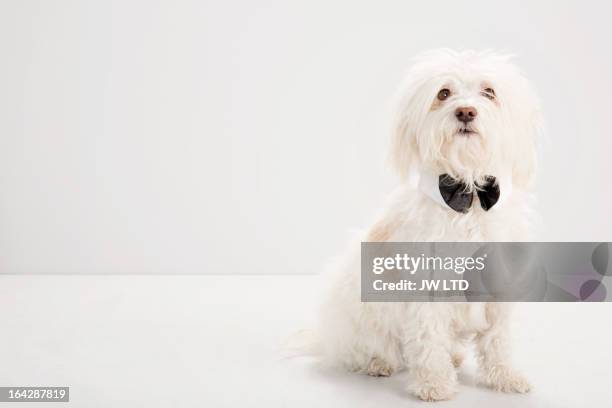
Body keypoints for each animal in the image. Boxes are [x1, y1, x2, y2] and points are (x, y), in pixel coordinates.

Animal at [314, 49, 544, 400]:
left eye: (489, 92)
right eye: (443, 93)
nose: (466, 112)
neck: (469, 196)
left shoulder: (500, 286)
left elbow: (498, 340)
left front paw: (505, 376)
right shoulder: (427, 291)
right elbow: (428, 339)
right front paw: (435, 382)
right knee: (368, 347)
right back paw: (379, 362)